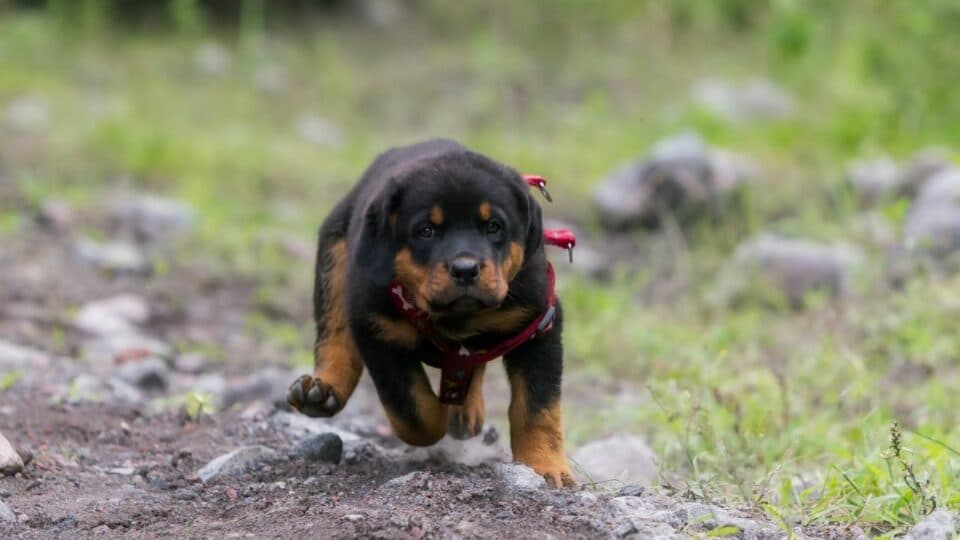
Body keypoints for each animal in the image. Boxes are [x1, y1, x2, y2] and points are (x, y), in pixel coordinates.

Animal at [284, 138, 568, 486]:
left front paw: (545, 467)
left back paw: (466, 410)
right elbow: (413, 409)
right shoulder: (374, 327)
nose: (465, 269)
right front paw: (437, 417)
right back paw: (320, 390)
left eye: (494, 227)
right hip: (334, 258)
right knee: (333, 333)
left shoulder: (539, 324)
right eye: (427, 231)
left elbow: (538, 407)